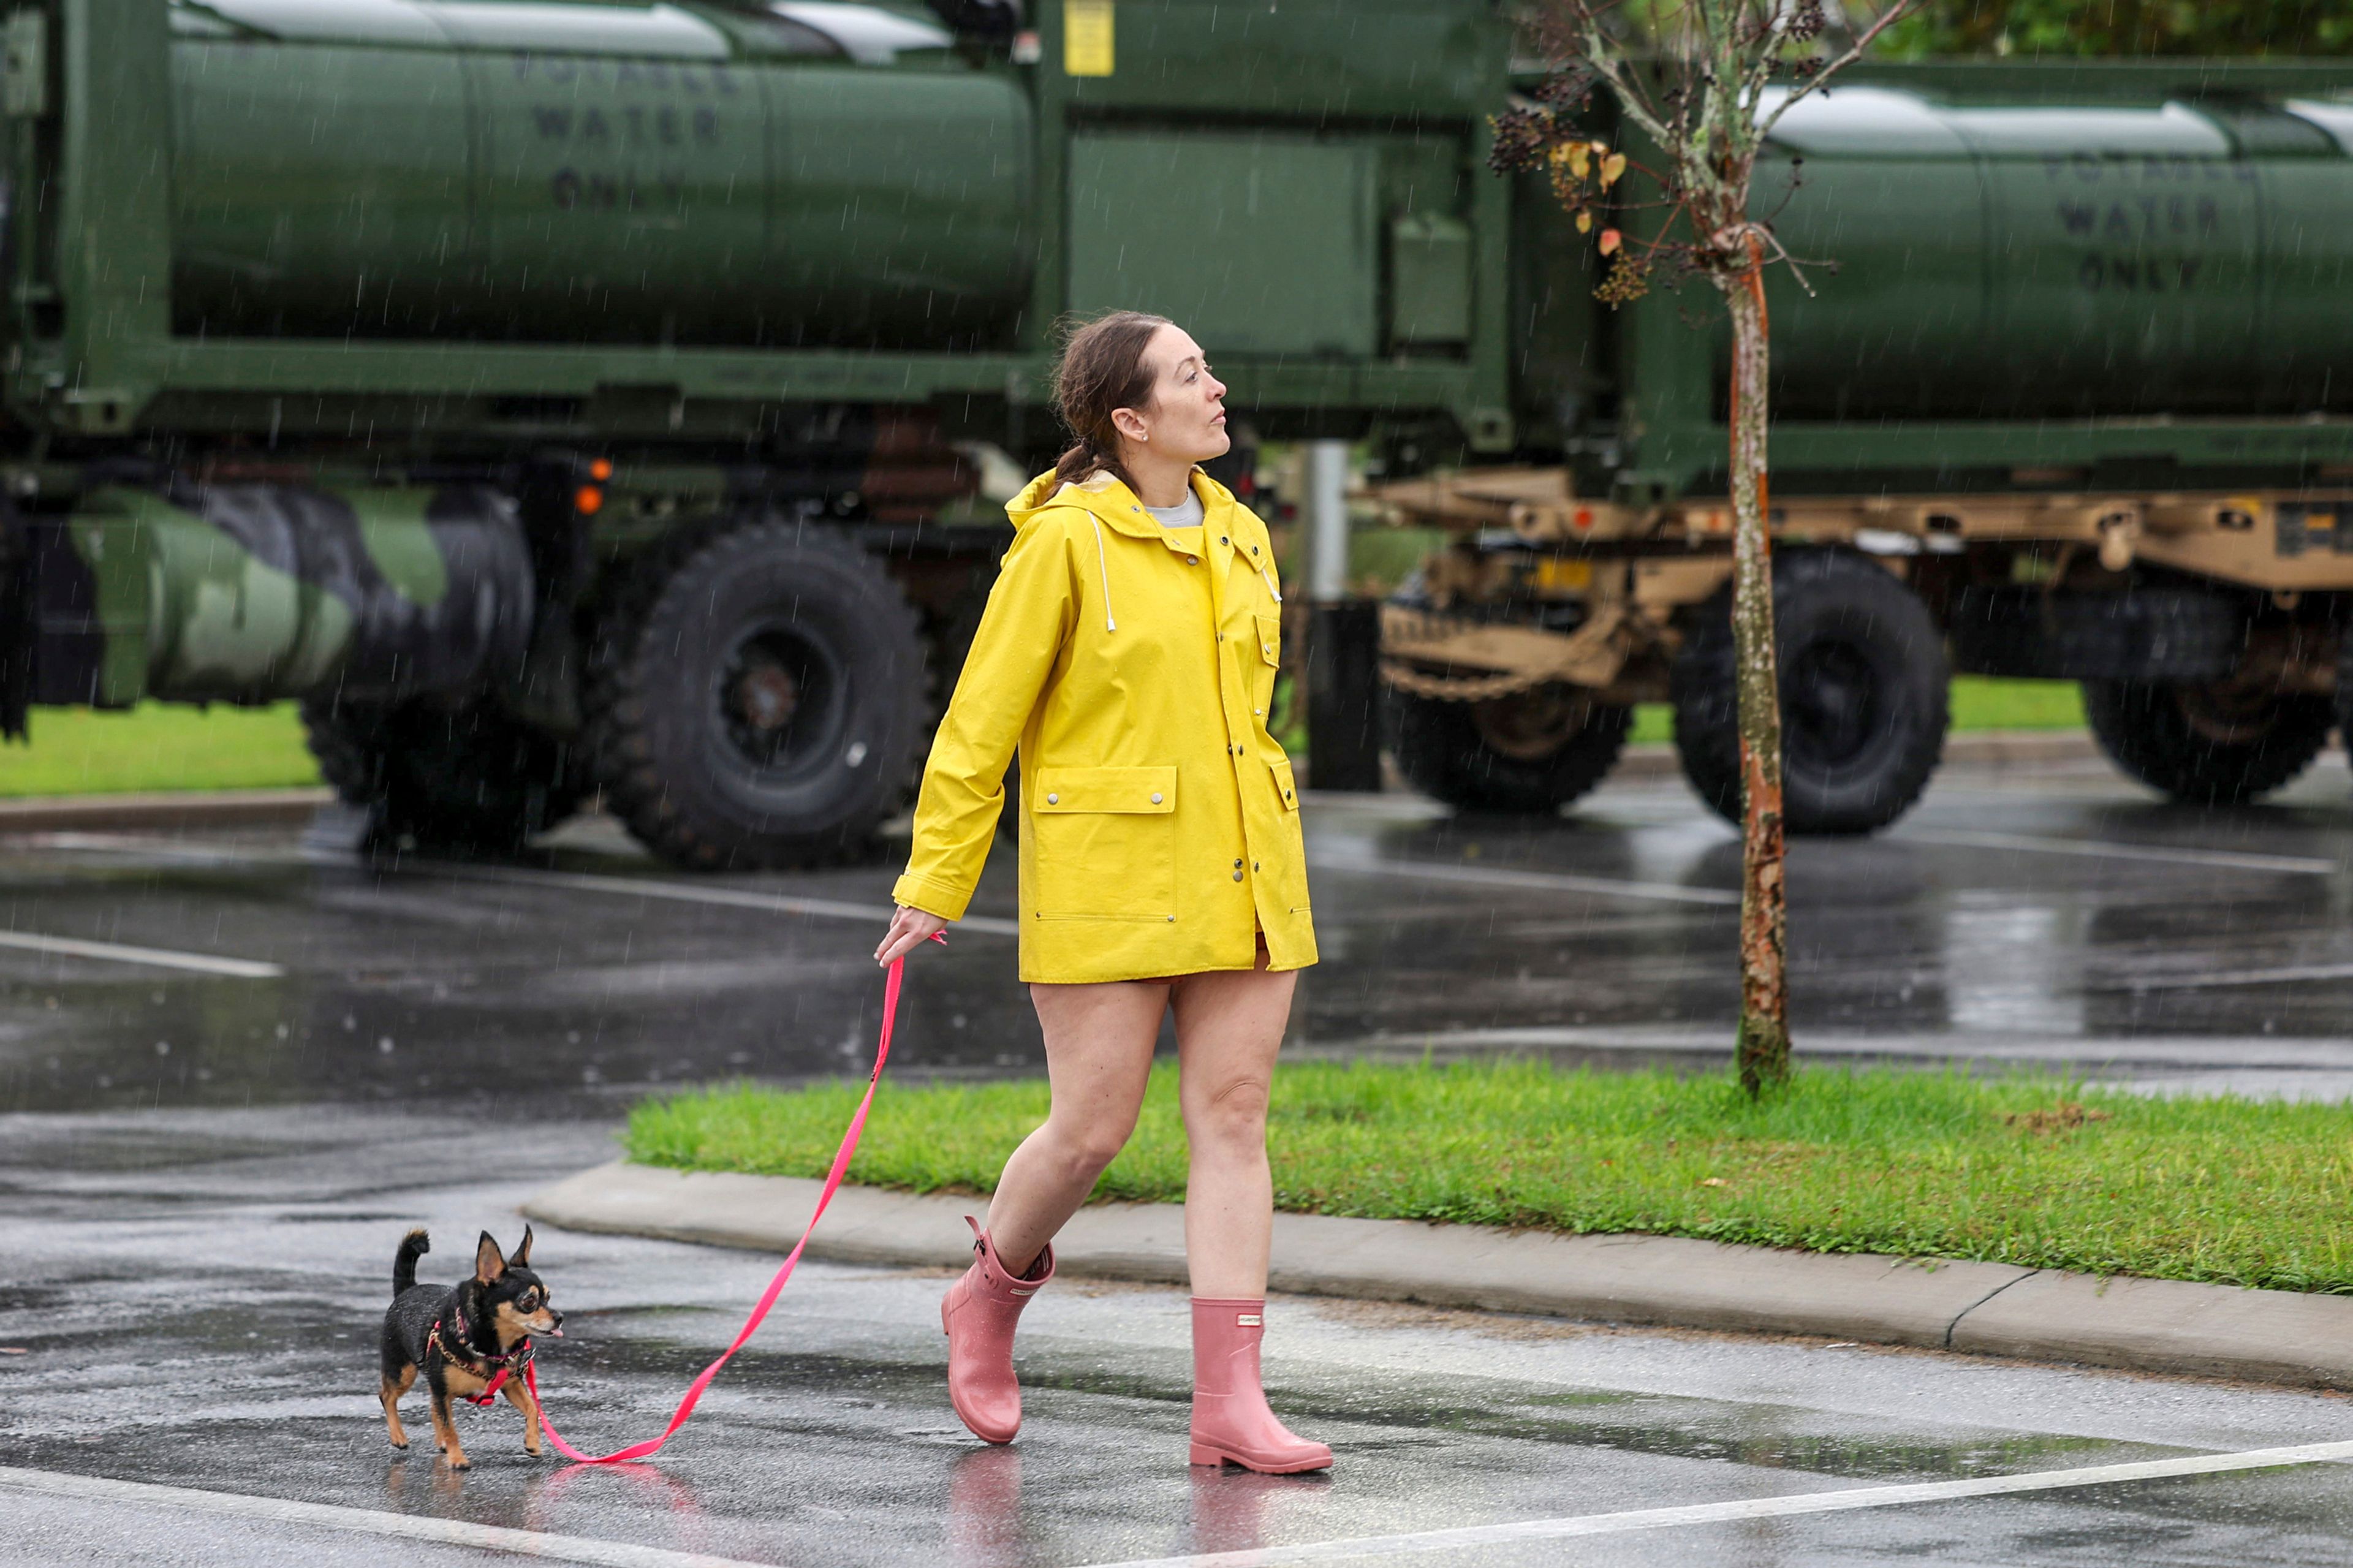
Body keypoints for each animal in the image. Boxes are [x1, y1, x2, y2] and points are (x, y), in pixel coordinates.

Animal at [390, 1224, 569, 1469]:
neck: (492, 1348)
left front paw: (533, 1442)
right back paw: (398, 1436)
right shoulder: (442, 1390)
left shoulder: (511, 1384)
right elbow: (450, 1427)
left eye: (548, 1297)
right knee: (387, 1396)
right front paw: (458, 1459)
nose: (559, 1317)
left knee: (432, 1407)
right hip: (403, 1374)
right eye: (530, 1301)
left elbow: (533, 1408)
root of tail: (408, 1289)